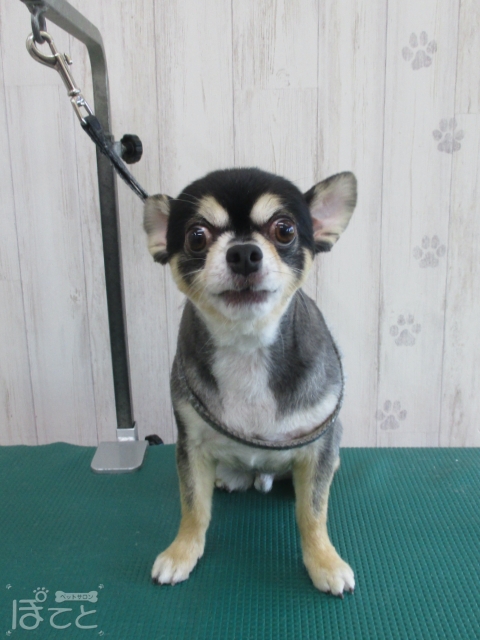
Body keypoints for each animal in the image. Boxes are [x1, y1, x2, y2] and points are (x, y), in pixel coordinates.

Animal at [143, 167, 357, 597]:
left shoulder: (320, 443)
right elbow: (193, 506)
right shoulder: (191, 444)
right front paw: (181, 551)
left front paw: (324, 561)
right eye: (196, 236)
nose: (243, 253)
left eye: (285, 230)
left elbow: (313, 513)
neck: (248, 348)